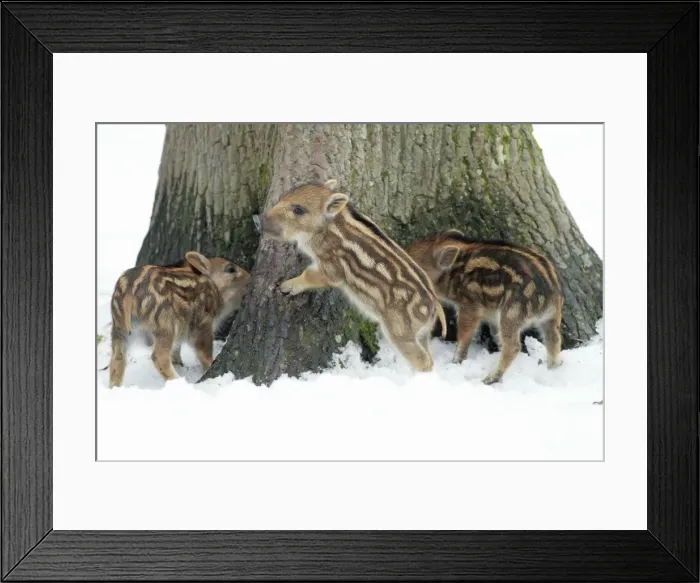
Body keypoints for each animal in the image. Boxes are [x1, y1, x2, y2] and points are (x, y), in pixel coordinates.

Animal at [108, 251, 250, 387]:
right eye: (230, 269)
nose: (250, 277)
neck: (215, 290)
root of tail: (130, 289)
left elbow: (177, 350)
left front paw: (180, 364)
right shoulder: (203, 325)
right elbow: (204, 352)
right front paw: (210, 365)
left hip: (120, 325)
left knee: (117, 358)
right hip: (164, 324)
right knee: (159, 356)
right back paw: (178, 381)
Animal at [254, 179, 446, 372]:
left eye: (298, 210)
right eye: (283, 198)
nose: (257, 219)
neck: (325, 229)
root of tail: (434, 306)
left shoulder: (332, 269)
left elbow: (310, 275)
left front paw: (285, 286)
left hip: (400, 332)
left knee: (424, 361)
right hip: (421, 334)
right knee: (429, 356)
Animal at [405, 229, 564, 384]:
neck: (453, 274)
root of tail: (551, 295)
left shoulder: (470, 304)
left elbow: (464, 334)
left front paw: (455, 362)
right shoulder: (491, 315)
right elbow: (494, 334)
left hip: (512, 312)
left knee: (513, 347)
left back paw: (489, 379)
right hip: (550, 319)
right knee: (554, 340)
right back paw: (553, 368)